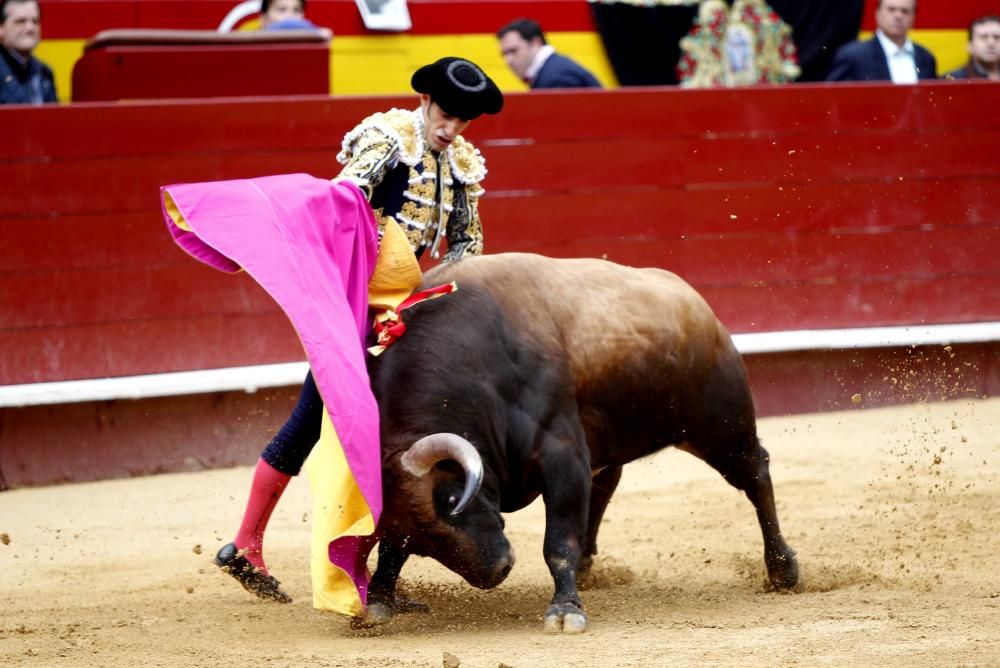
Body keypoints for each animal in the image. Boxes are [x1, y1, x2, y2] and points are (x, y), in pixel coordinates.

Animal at [364, 253, 800, 636]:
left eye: (451, 500)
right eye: (421, 541)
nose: (497, 570)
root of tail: (696, 303)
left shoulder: (562, 453)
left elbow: (558, 542)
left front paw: (564, 611)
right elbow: (390, 550)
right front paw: (378, 601)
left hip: (720, 427)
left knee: (756, 474)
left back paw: (782, 570)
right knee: (606, 487)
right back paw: (588, 566)